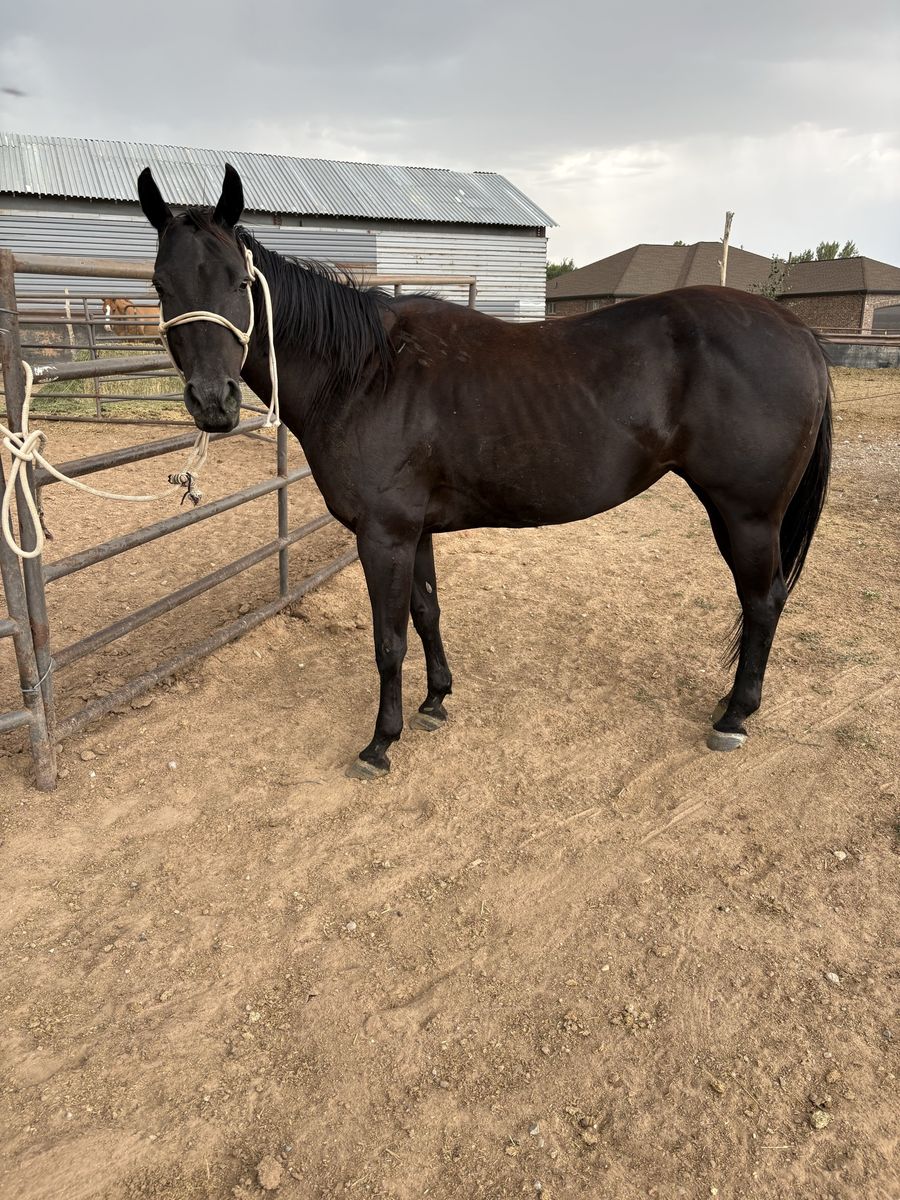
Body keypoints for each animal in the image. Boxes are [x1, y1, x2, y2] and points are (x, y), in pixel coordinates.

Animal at [138, 164, 832, 780]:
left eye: (238, 282)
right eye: (161, 285)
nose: (214, 401)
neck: (367, 374)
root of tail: (797, 330)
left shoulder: (383, 535)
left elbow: (388, 640)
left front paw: (380, 742)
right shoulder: (412, 531)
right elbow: (426, 613)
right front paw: (435, 701)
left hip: (745, 514)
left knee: (763, 600)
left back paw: (735, 716)